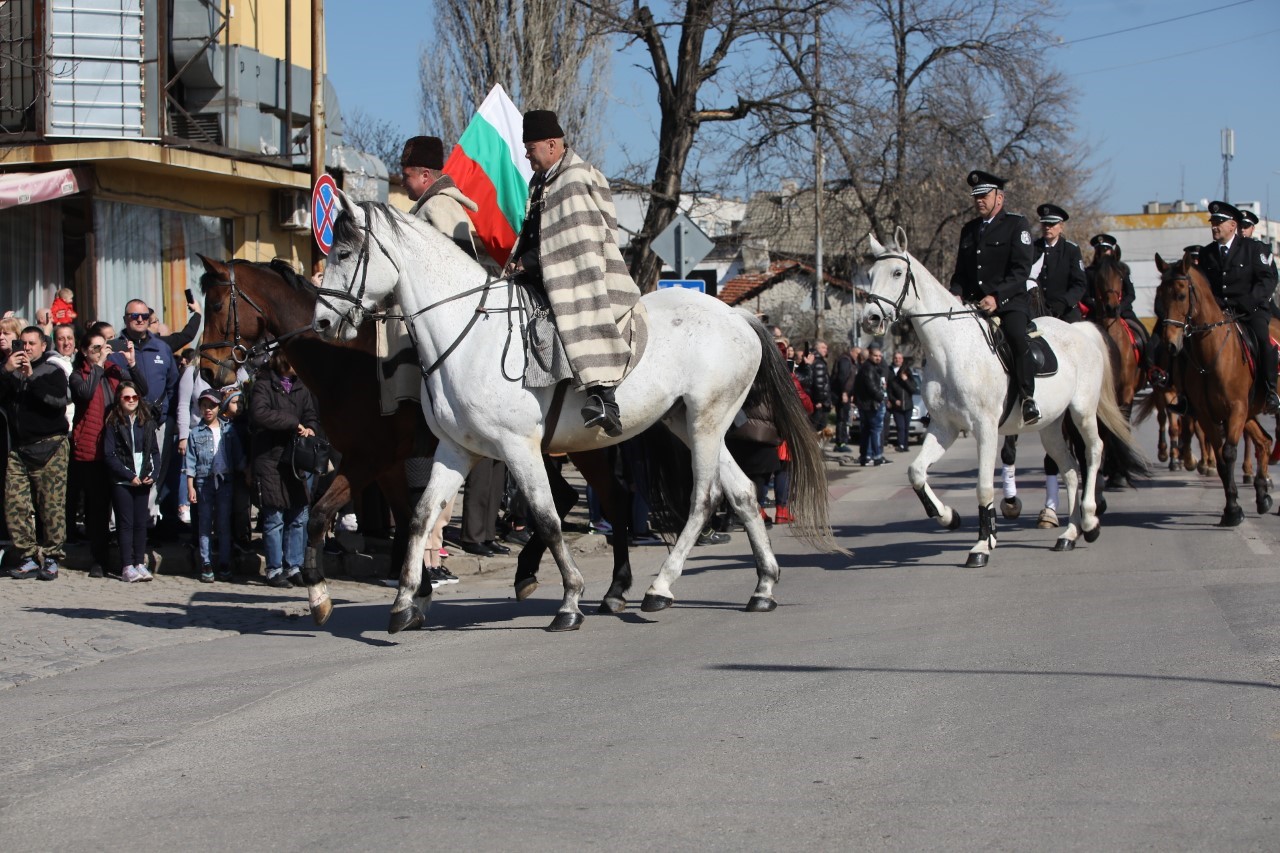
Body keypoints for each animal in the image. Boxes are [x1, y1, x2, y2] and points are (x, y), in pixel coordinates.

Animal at [200, 256, 655, 622]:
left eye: (217, 304)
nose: (207, 369)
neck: (344, 363)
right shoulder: (385, 465)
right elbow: (407, 518)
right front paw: (417, 590)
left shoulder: (367, 458)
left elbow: (319, 513)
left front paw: (320, 597)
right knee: (574, 498)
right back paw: (536, 573)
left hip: (569, 449)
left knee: (607, 498)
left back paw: (613, 587)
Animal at [305, 195, 834, 627]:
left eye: (345, 254)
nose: (323, 323)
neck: (467, 335)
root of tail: (737, 316)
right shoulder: (456, 450)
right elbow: (419, 517)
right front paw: (404, 605)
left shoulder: (518, 448)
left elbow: (546, 517)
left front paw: (570, 601)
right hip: (689, 422)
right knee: (742, 493)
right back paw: (762, 586)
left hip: (704, 421)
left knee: (703, 500)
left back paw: (659, 588)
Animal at [860, 230, 1152, 563]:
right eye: (869, 274)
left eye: (897, 273)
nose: (870, 319)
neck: (951, 348)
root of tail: (1080, 330)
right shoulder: (945, 427)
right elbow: (916, 472)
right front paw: (948, 516)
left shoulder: (985, 428)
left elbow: (984, 487)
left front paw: (981, 545)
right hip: (1051, 426)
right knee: (1069, 469)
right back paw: (1069, 533)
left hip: (1082, 412)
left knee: (1093, 452)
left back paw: (1090, 521)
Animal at [1157, 249, 1274, 522]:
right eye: (1159, 295)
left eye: (1181, 295)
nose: (1170, 344)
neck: (1211, 354)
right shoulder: (1206, 414)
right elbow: (1221, 459)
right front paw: (1231, 508)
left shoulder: (1236, 409)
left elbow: (1229, 453)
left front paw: (1234, 510)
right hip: (1250, 412)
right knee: (1264, 442)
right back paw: (1262, 496)